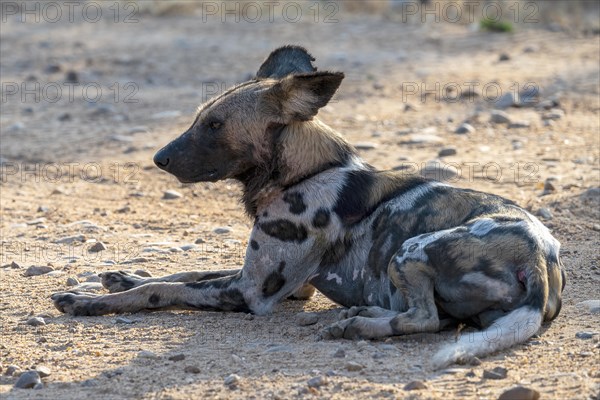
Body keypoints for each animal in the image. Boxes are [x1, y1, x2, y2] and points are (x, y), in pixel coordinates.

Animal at [52, 45, 568, 368]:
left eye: (215, 125)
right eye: (200, 119)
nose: (159, 158)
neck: (304, 173)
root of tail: (540, 259)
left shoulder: (251, 293)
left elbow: (161, 291)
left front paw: (90, 302)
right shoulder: (270, 282)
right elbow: (183, 271)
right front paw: (122, 276)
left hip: (412, 248)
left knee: (424, 319)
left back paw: (357, 327)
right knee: (437, 319)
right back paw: (358, 313)